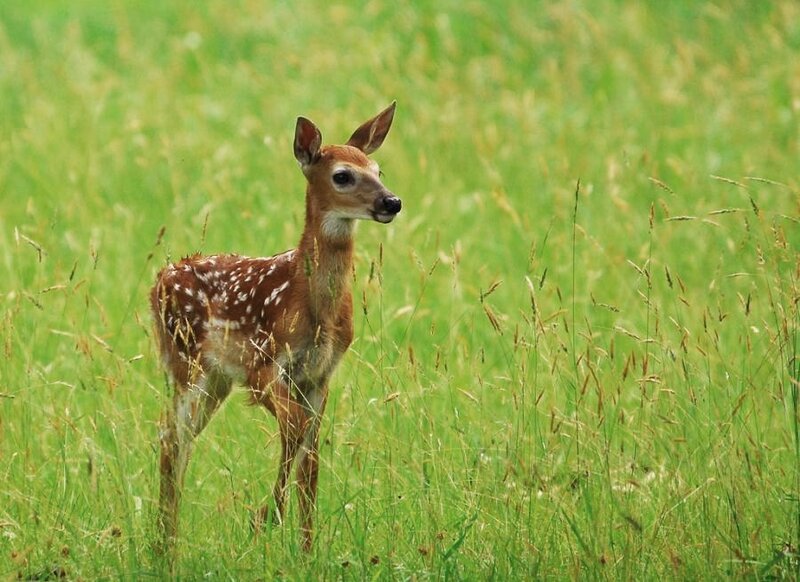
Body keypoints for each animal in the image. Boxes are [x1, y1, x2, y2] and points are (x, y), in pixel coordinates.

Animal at [150, 102, 400, 556]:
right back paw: (165, 550)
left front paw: (305, 549)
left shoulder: (319, 375)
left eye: (378, 169)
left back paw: (166, 544)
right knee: (170, 439)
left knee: (180, 441)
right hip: (186, 362)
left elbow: (311, 461)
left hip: (215, 379)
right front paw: (267, 517)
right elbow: (295, 432)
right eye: (343, 175)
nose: (392, 201)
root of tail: (157, 279)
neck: (311, 304)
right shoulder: (263, 364)